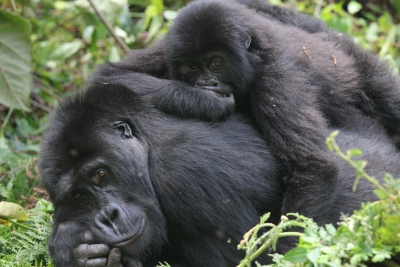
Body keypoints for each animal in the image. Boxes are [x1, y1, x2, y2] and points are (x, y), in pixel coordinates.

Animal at [157, 0, 400, 220]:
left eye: (216, 63)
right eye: (192, 67)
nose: (206, 85)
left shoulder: (277, 79)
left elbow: (311, 167)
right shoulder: (162, 52)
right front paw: (200, 99)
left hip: (361, 64)